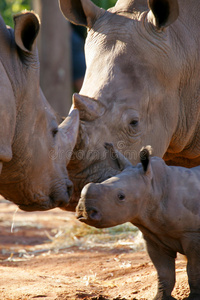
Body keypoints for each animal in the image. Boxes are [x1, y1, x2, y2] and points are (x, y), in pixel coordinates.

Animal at [77, 144, 200, 298]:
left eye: (121, 196)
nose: (83, 212)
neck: (155, 187)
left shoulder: (192, 233)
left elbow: (194, 270)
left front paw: (194, 298)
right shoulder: (154, 235)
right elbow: (164, 271)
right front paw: (160, 298)